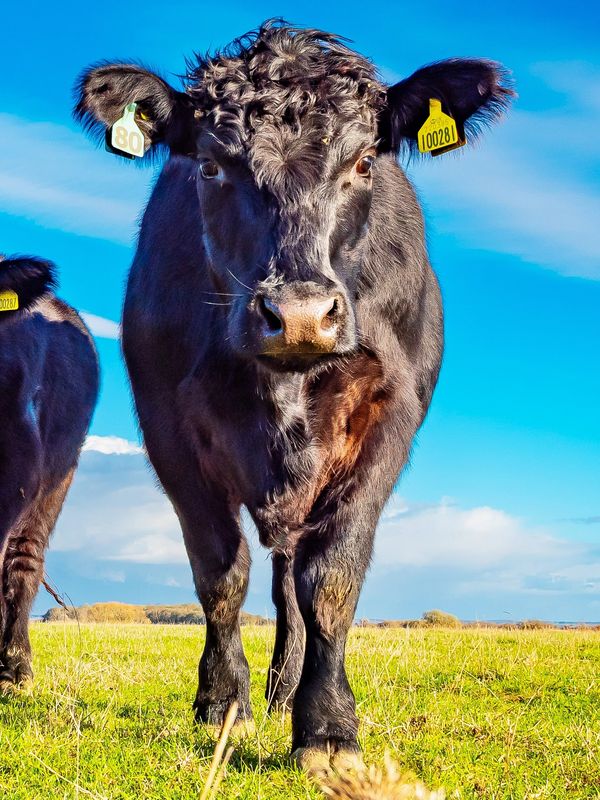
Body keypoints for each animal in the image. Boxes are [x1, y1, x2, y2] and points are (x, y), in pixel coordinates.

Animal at [74, 20, 512, 771]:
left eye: (364, 162)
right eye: (211, 166)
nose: (301, 313)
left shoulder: (389, 418)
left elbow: (331, 579)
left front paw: (329, 729)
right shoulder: (166, 425)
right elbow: (220, 573)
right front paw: (223, 705)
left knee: (295, 578)